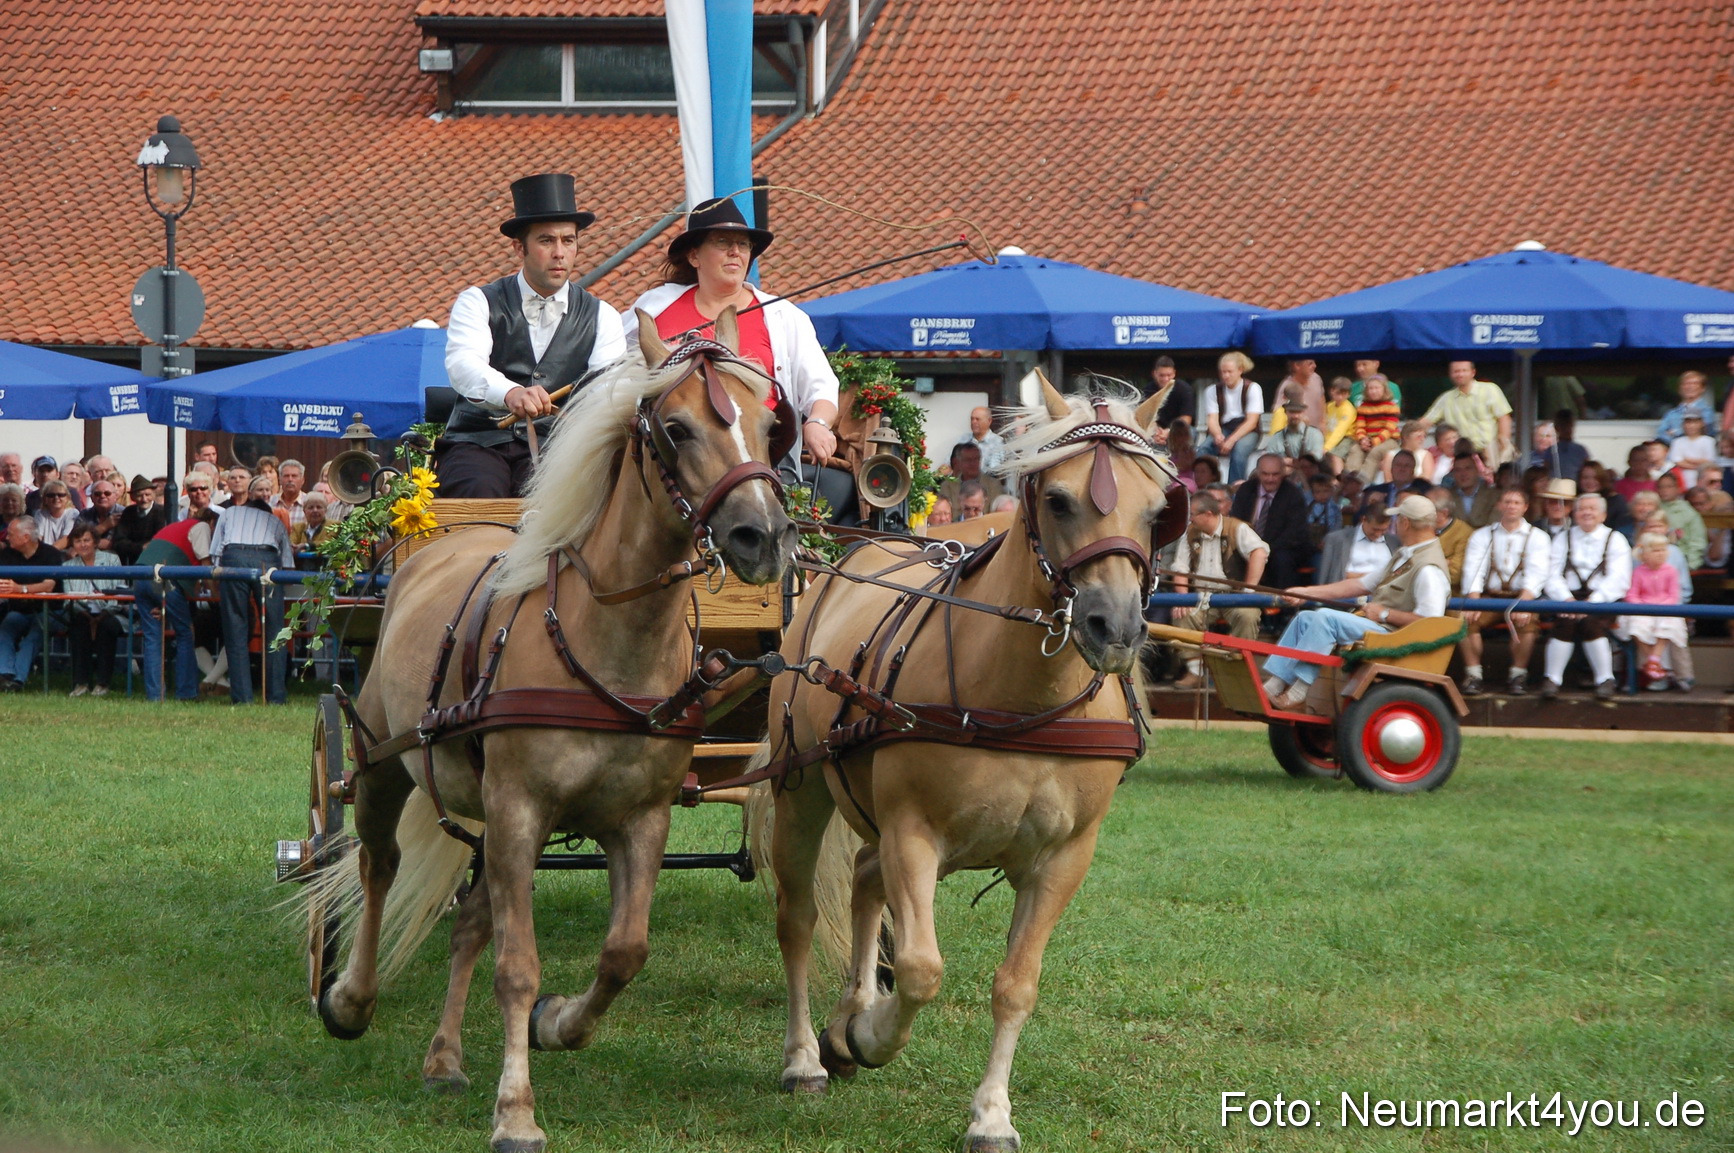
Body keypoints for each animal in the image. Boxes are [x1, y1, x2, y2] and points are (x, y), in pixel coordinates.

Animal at [304, 310, 795, 1153]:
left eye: (769, 425)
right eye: (676, 427)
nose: (760, 536)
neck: (605, 639)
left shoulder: (639, 819)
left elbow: (623, 951)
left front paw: (559, 1022)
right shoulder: (521, 810)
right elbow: (518, 964)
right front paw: (516, 1110)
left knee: (470, 920)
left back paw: (444, 1056)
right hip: (384, 766)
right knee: (375, 865)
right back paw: (349, 997)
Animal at [752, 375, 1181, 1152]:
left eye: (1160, 509)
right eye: (1058, 499)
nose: (1115, 627)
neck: (1022, 693)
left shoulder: (1064, 857)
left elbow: (1017, 983)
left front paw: (991, 1114)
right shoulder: (914, 832)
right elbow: (922, 969)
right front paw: (871, 1035)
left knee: (864, 880)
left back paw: (845, 1016)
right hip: (803, 791)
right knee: (797, 918)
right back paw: (807, 1055)